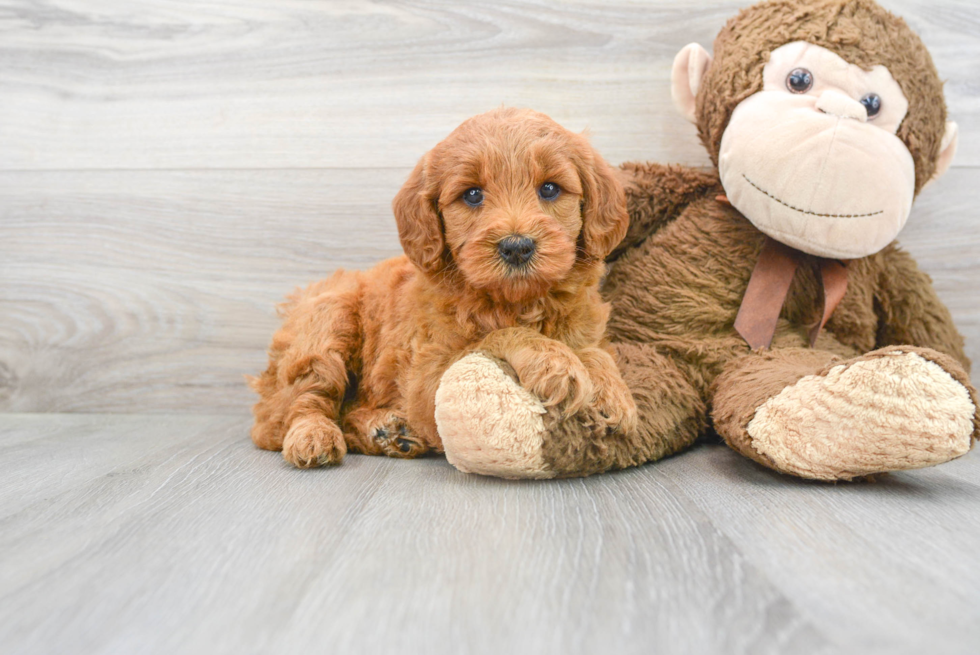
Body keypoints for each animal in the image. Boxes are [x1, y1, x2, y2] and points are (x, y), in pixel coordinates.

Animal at [249, 106, 640, 466]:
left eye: (549, 189)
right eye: (472, 195)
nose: (517, 247)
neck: (517, 302)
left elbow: (594, 350)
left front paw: (610, 390)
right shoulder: (427, 381)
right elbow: (495, 337)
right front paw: (555, 362)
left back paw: (389, 433)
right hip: (328, 323)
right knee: (287, 412)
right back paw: (313, 436)